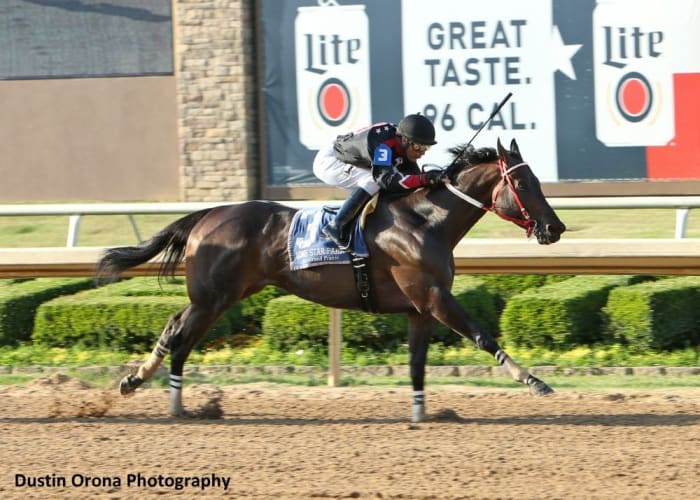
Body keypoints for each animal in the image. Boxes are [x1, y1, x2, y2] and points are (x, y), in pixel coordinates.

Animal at [95, 138, 568, 422]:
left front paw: (421, 414)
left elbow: (416, 363)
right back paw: (170, 402)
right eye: (524, 182)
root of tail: (207, 215)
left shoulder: (420, 307)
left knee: (175, 327)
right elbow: (482, 335)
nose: (555, 227)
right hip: (214, 298)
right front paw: (534, 381)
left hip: (221, 296)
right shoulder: (434, 296)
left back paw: (144, 384)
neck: (425, 221)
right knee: (180, 338)